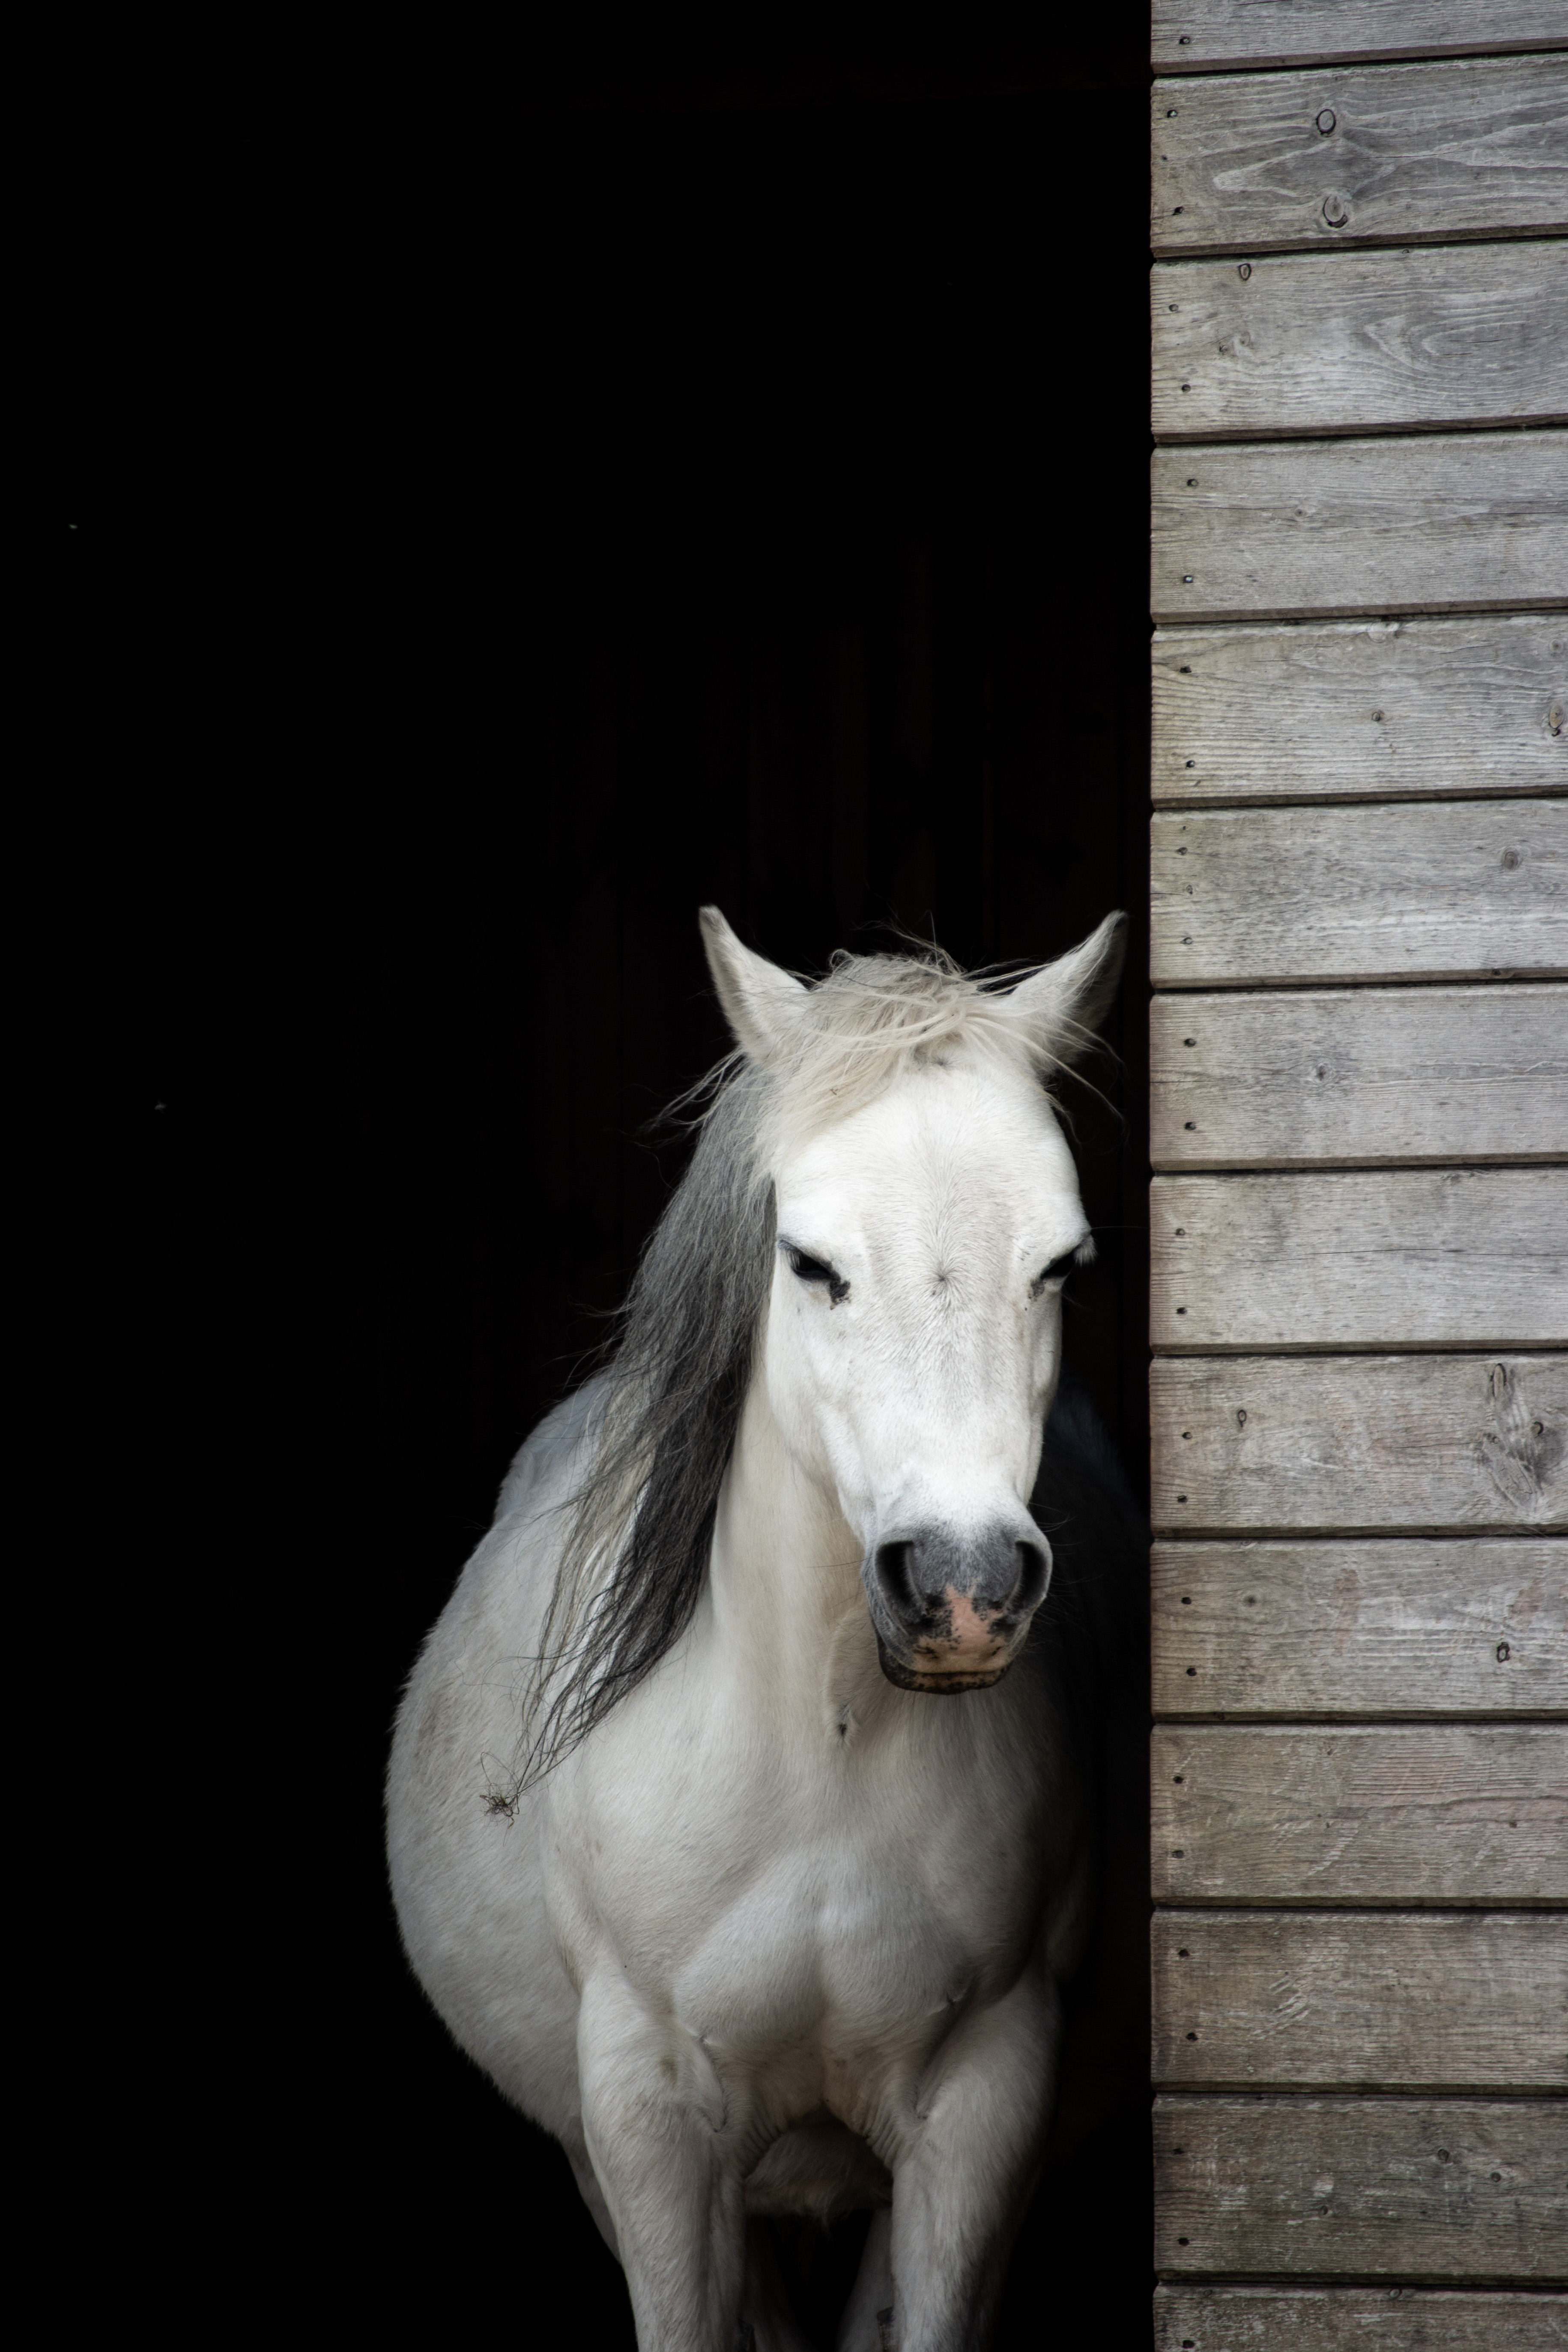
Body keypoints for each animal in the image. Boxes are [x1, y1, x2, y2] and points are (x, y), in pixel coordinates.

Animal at [385, 908, 1133, 2352]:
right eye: (810, 1263)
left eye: (1058, 1265)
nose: (960, 1586)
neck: (822, 1747)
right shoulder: (648, 2124)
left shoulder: (981, 2109)